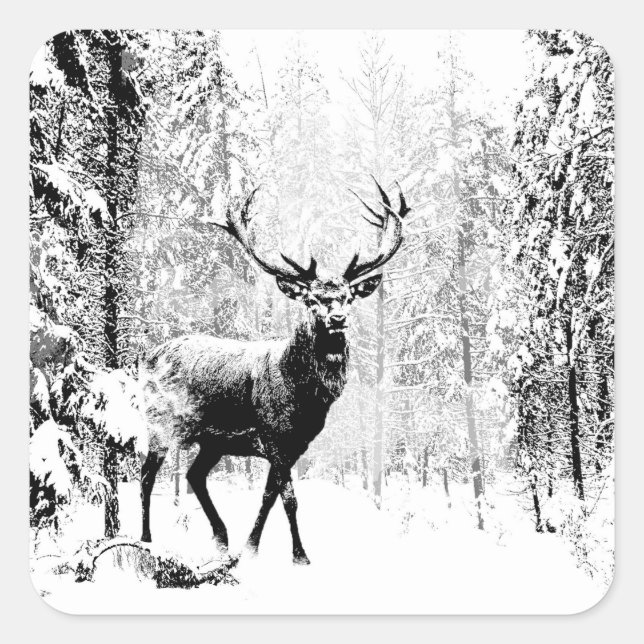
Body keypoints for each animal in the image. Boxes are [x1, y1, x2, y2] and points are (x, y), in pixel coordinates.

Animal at [139, 179, 409, 565]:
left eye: (348, 297)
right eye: (311, 299)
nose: (337, 319)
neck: (304, 398)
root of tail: (147, 357)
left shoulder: (293, 445)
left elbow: (270, 496)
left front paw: (251, 549)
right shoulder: (274, 436)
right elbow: (289, 499)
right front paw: (298, 555)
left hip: (212, 441)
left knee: (194, 475)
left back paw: (222, 538)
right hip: (159, 423)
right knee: (146, 475)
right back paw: (146, 539)